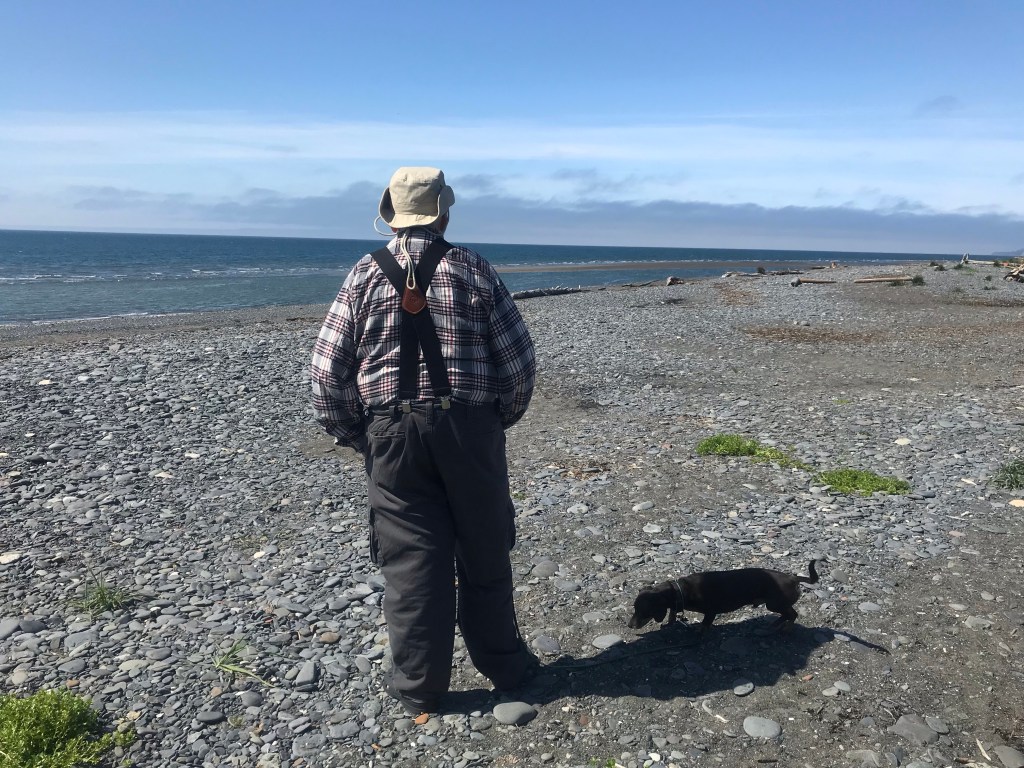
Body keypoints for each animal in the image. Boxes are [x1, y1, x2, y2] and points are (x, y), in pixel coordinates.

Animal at [627, 559, 820, 632]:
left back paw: (786, 628)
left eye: (643, 611)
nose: (629, 625)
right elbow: (672, 614)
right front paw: (669, 623)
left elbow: (704, 625)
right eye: (634, 608)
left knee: (792, 614)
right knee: (786, 614)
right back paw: (775, 624)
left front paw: (698, 631)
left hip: (775, 603)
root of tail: (793, 577)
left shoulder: (710, 612)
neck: (680, 590)